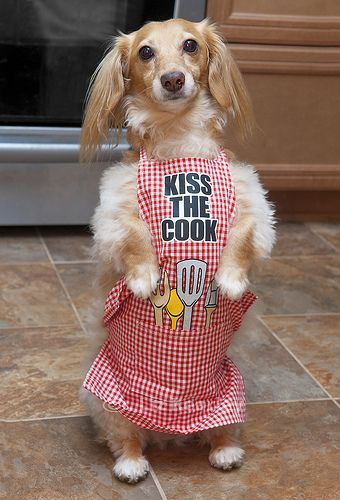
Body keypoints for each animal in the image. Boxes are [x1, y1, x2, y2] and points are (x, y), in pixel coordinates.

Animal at [78, 19, 274, 484]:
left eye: (190, 45)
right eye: (145, 52)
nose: (172, 79)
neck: (179, 142)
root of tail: (169, 430)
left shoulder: (254, 202)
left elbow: (243, 236)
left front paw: (231, 281)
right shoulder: (115, 209)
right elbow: (135, 237)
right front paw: (145, 278)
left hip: (232, 395)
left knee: (220, 432)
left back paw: (225, 451)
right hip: (109, 402)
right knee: (125, 438)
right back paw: (132, 463)